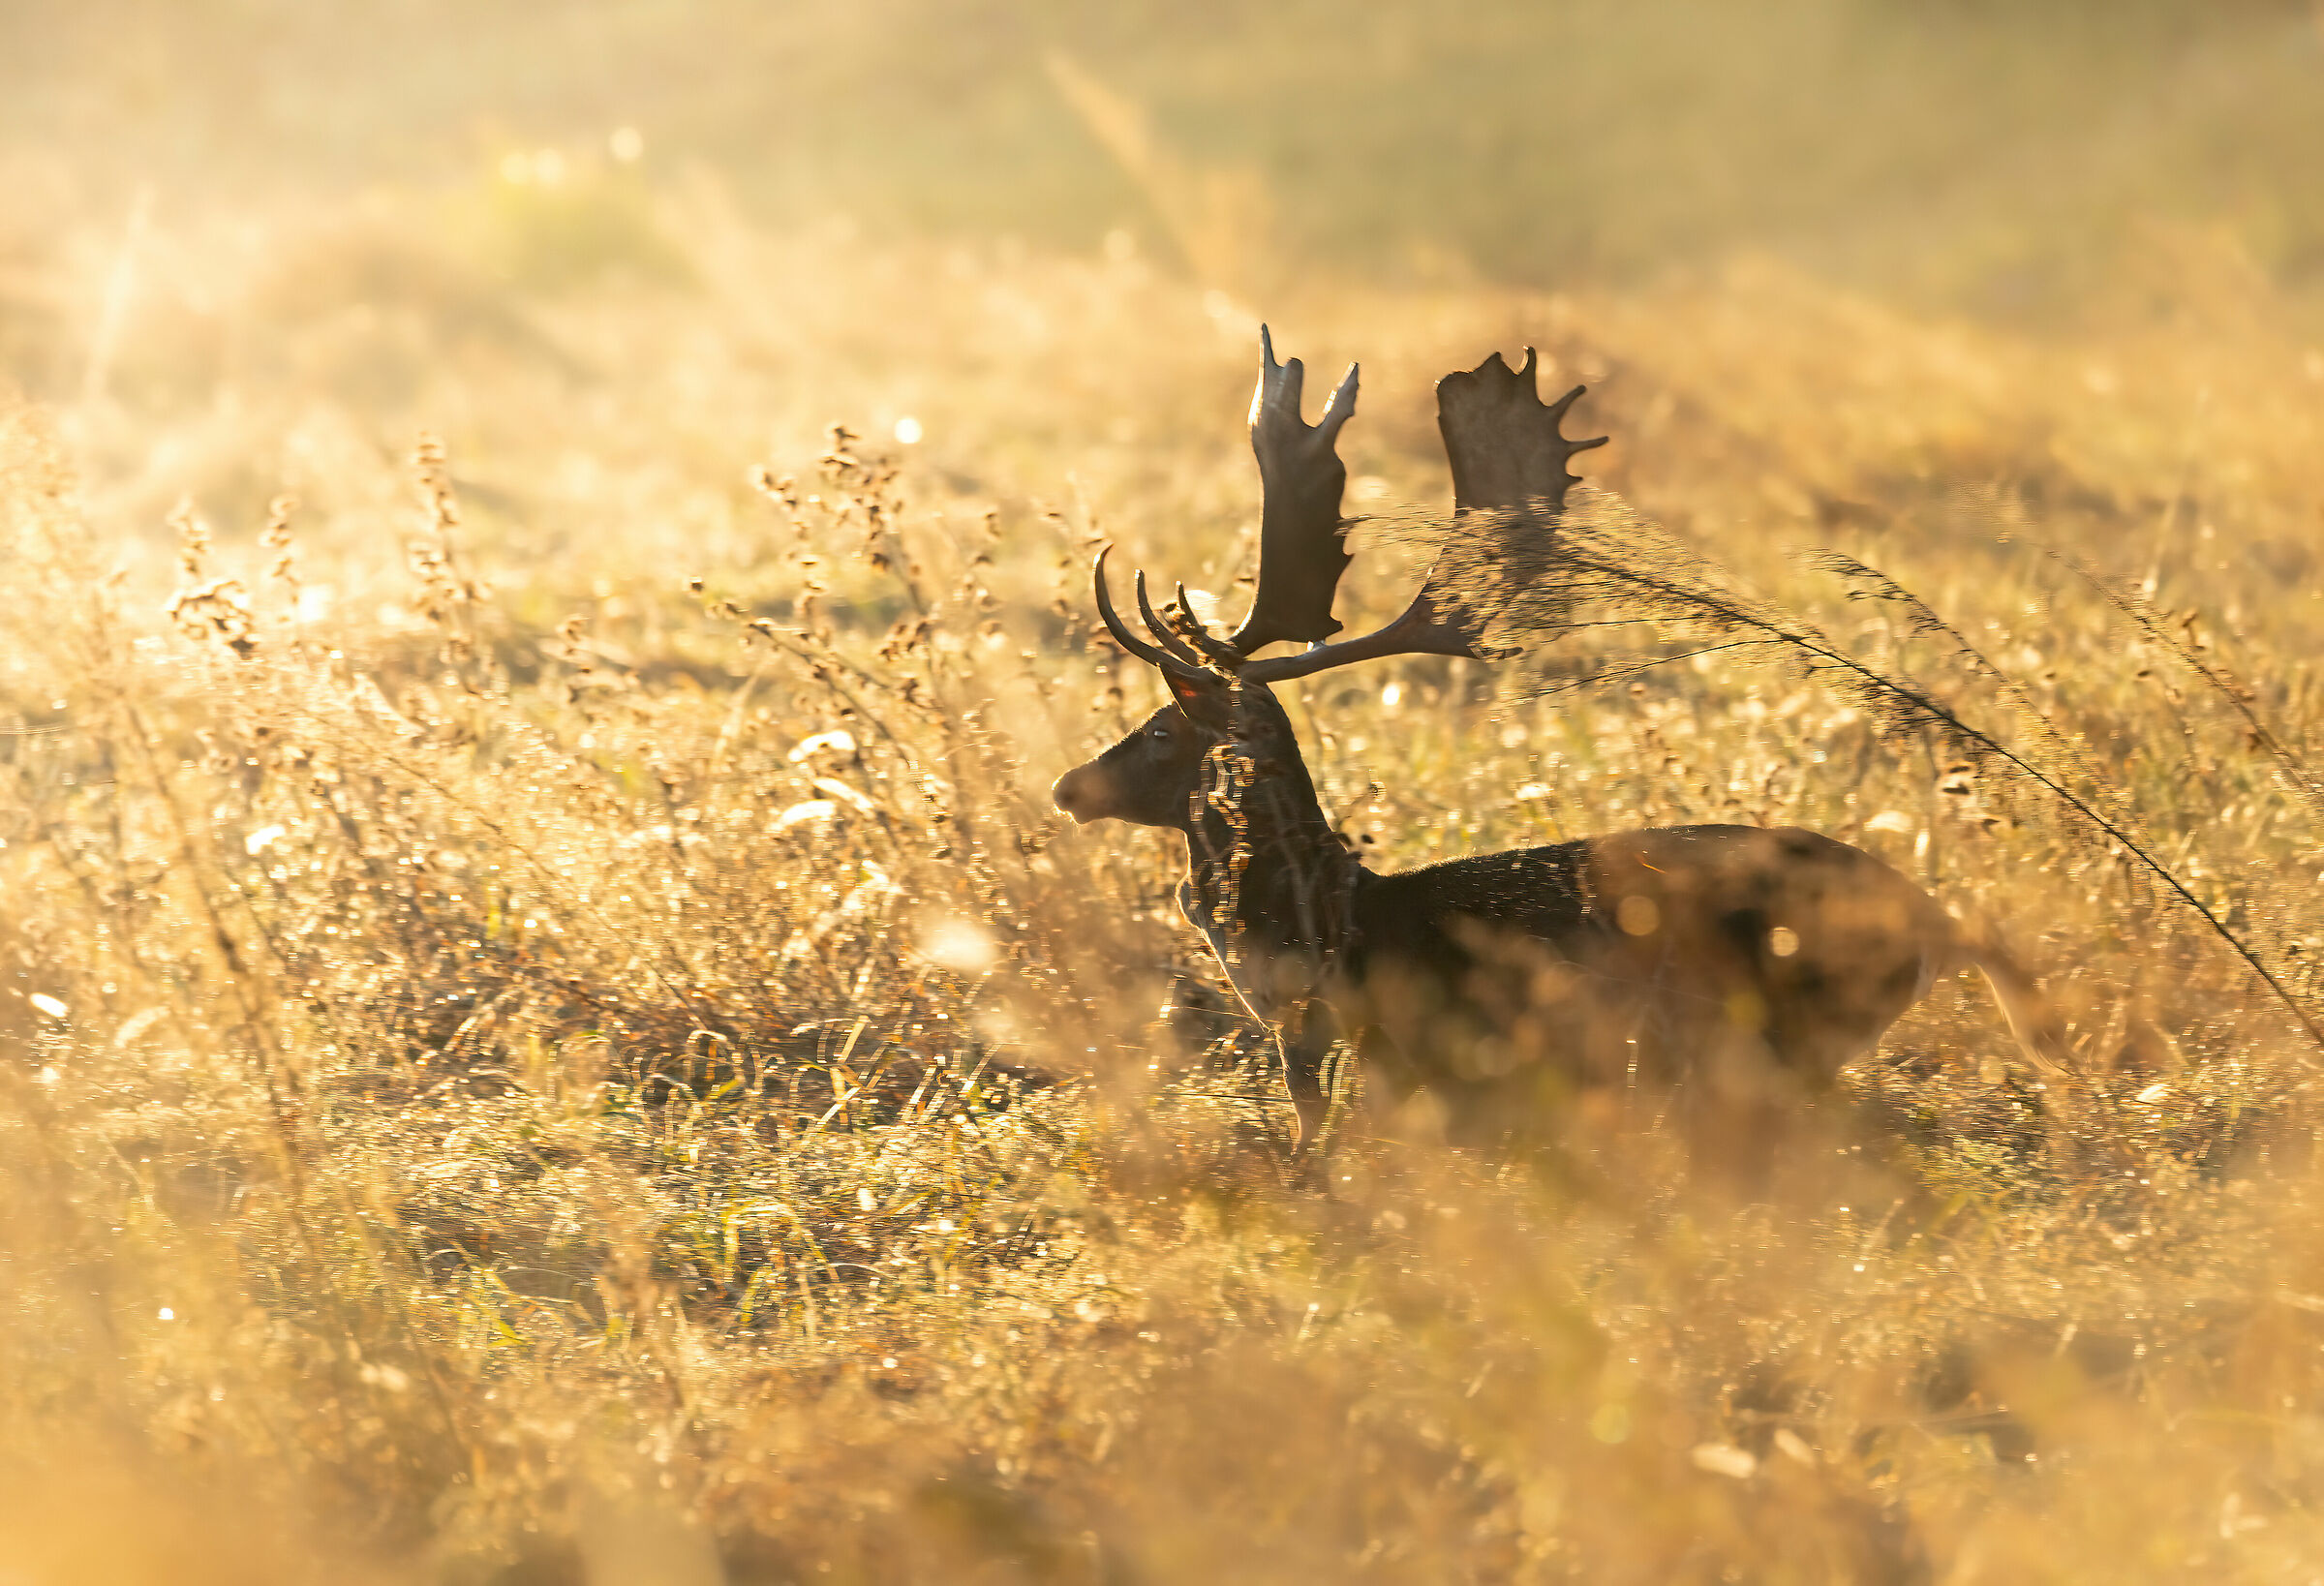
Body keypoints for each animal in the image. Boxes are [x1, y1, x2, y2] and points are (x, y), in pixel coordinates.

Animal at [1050, 329, 2066, 1160]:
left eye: (1159, 730)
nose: (1069, 787)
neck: (1321, 938)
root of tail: (1941, 924)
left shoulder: (1384, 1069)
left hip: (1786, 1033)